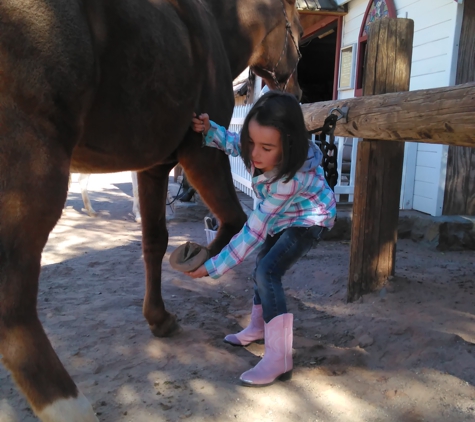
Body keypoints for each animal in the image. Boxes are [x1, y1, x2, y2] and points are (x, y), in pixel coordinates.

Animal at [0, 0, 302, 418]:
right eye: (297, 30)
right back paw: (70, 407)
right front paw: (198, 258)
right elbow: (234, 220)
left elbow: (155, 241)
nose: (299, 90)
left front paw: (159, 318)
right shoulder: (202, 155)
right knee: (12, 310)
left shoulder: (154, 167)